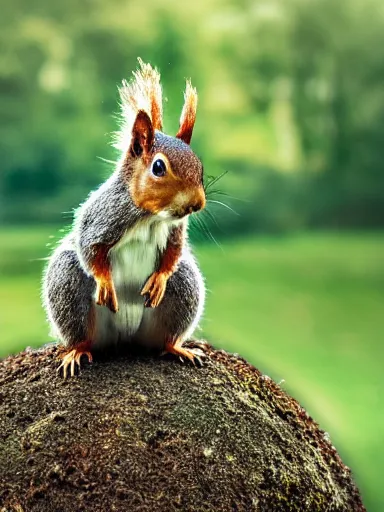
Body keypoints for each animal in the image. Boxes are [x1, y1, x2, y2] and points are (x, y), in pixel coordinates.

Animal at [42, 61, 207, 380]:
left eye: (200, 167)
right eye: (158, 167)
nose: (197, 204)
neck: (151, 217)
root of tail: (125, 337)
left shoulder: (175, 230)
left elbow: (173, 253)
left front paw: (159, 279)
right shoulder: (103, 217)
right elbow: (90, 247)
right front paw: (106, 283)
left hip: (184, 286)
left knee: (165, 336)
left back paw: (177, 348)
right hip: (68, 284)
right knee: (80, 334)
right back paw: (77, 351)